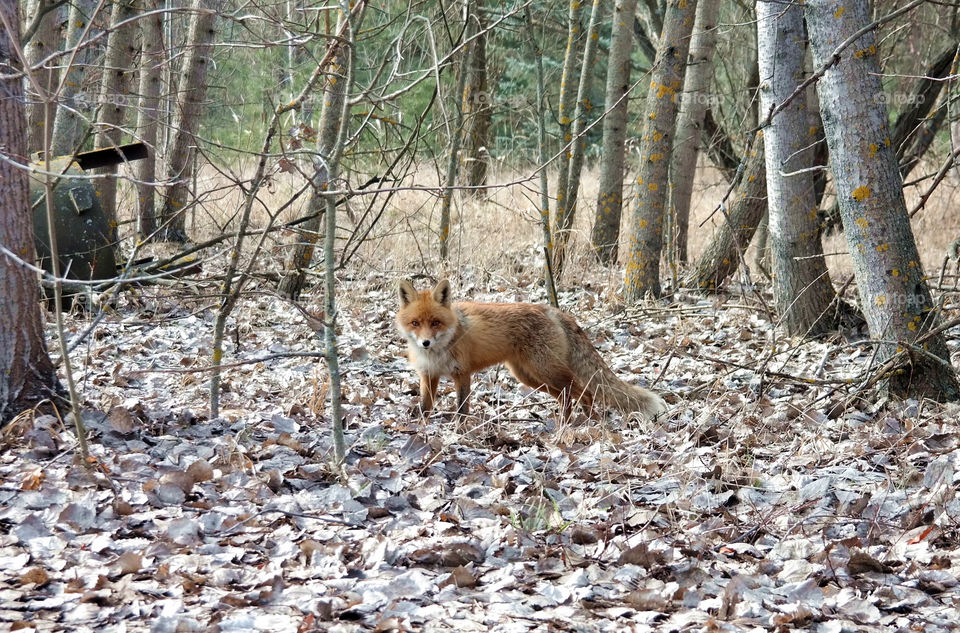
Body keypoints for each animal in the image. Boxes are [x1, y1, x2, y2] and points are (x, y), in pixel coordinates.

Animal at [398, 278, 668, 420]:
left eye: (436, 323)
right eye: (415, 323)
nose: (425, 343)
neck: (437, 352)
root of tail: (553, 310)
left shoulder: (462, 373)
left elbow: (462, 408)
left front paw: (459, 429)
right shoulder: (428, 375)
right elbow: (425, 407)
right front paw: (420, 428)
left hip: (545, 371)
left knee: (584, 391)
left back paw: (586, 422)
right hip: (530, 377)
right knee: (567, 396)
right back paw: (566, 423)